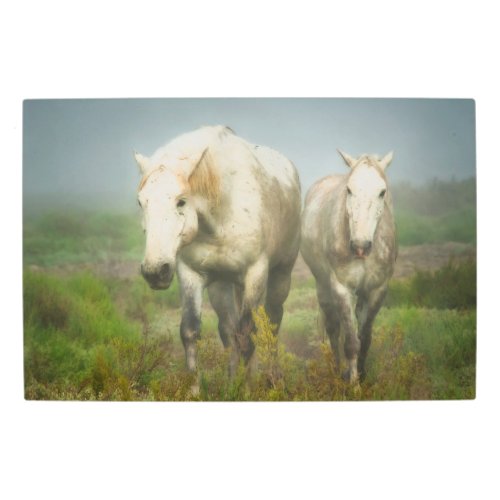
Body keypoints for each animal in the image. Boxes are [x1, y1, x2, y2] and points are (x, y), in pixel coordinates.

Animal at [134, 125, 300, 376]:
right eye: (141, 202)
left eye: (181, 201)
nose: (155, 271)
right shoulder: (190, 274)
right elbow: (191, 332)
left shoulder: (255, 274)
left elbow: (247, 336)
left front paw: (244, 385)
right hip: (221, 286)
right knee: (228, 329)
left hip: (281, 275)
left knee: (272, 323)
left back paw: (272, 378)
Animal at [298, 149, 396, 382]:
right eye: (349, 190)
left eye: (382, 192)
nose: (360, 246)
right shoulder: (342, 288)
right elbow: (351, 342)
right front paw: (353, 383)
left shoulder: (377, 289)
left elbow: (365, 339)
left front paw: (362, 375)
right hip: (323, 286)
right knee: (333, 328)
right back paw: (336, 370)